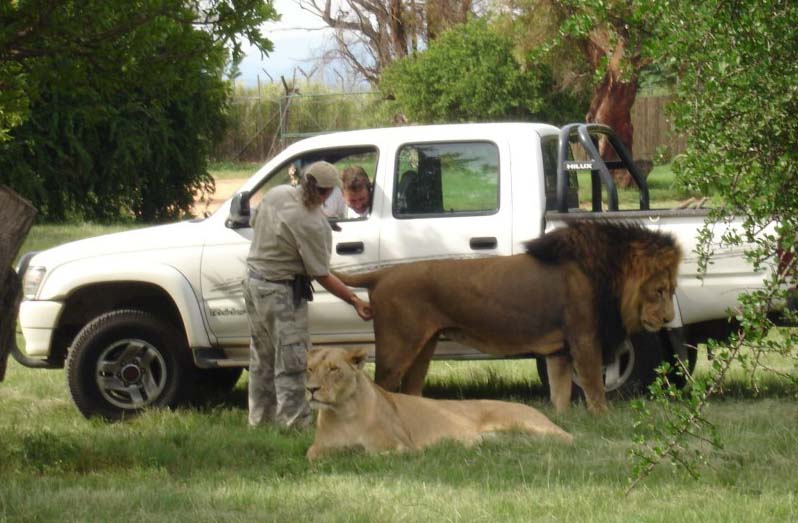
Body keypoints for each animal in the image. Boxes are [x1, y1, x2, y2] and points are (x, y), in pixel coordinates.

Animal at [305, 347, 573, 461]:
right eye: (310, 368)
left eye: (333, 369)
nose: (311, 390)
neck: (344, 411)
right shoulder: (318, 448)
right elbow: (313, 455)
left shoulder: (400, 445)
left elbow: (373, 454)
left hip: (523, 421)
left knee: (569, 437)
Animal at [335, 221, 682, 414]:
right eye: (659, 290)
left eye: (672, 290)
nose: (667, 320)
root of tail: (381, 274)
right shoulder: (584, 339)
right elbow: (595, 388)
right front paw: (602, 417)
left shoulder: (558, 352)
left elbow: (560, 395)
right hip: (398, 346)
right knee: (380, 388)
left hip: (424, 346)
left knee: (409, 391)